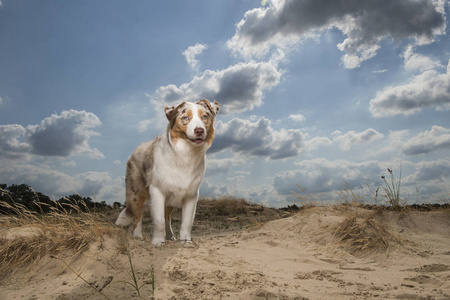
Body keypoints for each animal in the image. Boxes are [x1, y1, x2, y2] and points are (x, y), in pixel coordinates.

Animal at [115, 98, 219, 246]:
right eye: (185, 118)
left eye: (204, 117)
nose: (199, 131)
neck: (185, 154)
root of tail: (136, 150)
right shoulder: (157, 190)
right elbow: (158, 220)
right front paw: (158, 241)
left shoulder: (191, 194)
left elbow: (187, 222)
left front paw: (185, 241)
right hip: (137, 193)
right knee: (137, 216)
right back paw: (137, 236)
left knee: (167, 218)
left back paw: (170, 236)